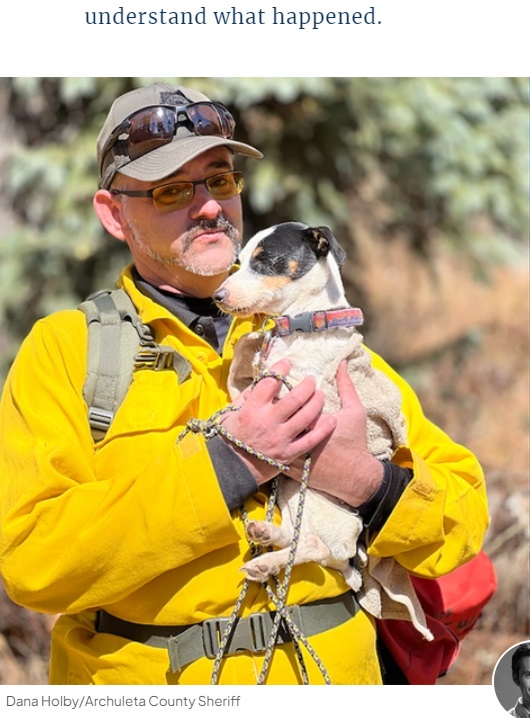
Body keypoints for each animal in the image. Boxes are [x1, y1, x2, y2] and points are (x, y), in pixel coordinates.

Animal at [210, 222, 404, 592]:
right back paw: (266, 533)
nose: (217, 296)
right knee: (300, 537)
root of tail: (351, 557)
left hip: (316, 500)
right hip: (291, 491)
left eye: (265, 259)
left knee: (315, 547)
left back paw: (266, 562)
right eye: (240, 259)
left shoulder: (302, 390)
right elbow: (242, 358)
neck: (301, 324)